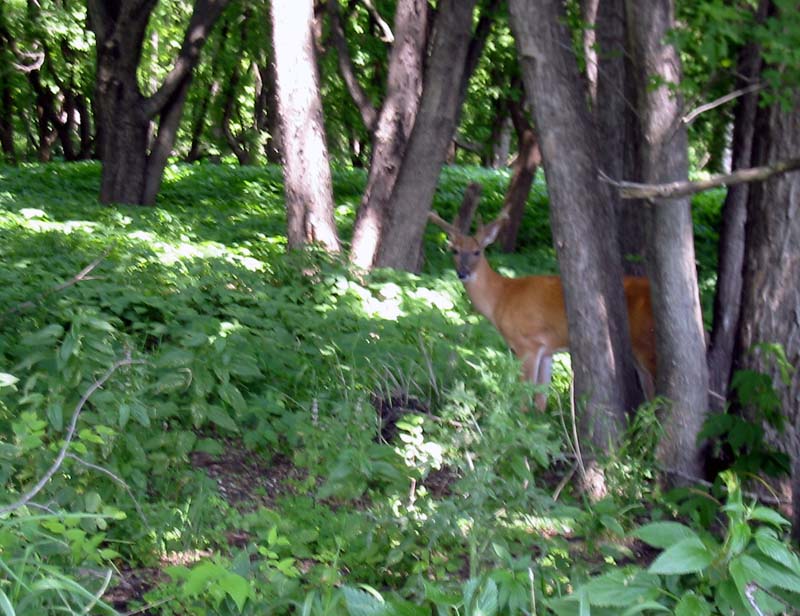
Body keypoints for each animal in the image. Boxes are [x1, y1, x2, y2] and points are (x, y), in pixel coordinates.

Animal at [429, 205, 656, 411]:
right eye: (455, 251)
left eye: (477, 252)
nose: (462, 273)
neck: (502, 298)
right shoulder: (547, 350)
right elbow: (541, 399)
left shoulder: (527, 343)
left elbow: (524, 396)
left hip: (646, 346)